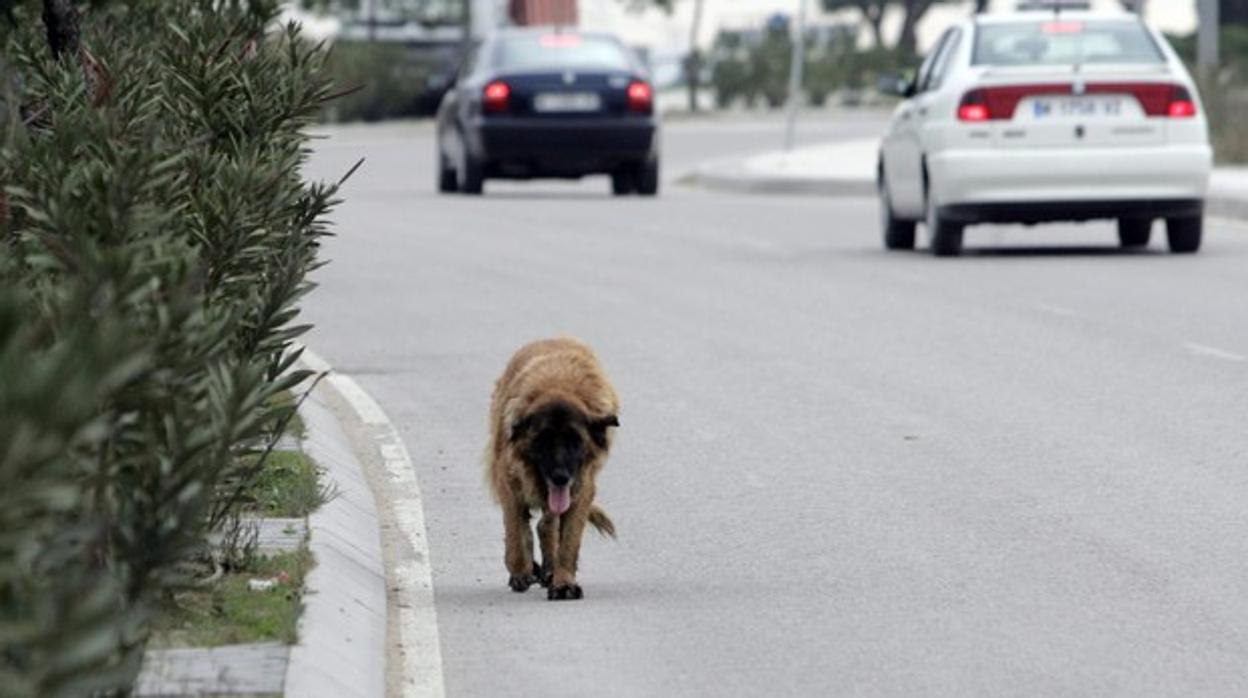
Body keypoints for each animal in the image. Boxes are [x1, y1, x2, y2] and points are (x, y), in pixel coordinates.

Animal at [489, 339, 621, 601]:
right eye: (543, 440)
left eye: (575, 440)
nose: (560, 477)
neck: (558, 386)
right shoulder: (508, 482)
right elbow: (515, 535)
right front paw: (521, 572)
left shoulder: (580, 489)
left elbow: (568, 542)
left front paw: (563, 582)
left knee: (546, 526)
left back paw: (549, 570)